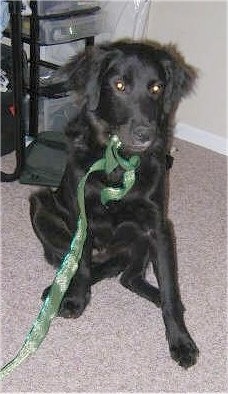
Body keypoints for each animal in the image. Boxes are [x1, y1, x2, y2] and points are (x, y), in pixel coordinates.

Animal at [29, 38, 198, 368]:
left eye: (156, 88)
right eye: (119, 85)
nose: (145, 135)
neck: (120, 164)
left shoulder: (158, 228)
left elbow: (171, 291)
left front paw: (181, 340)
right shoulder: (83, 220)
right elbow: (80, 267)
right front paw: (75, 300)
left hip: (138, 242)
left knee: (129, 278)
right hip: (40, 203)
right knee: (79, 266)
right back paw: (59, 289)